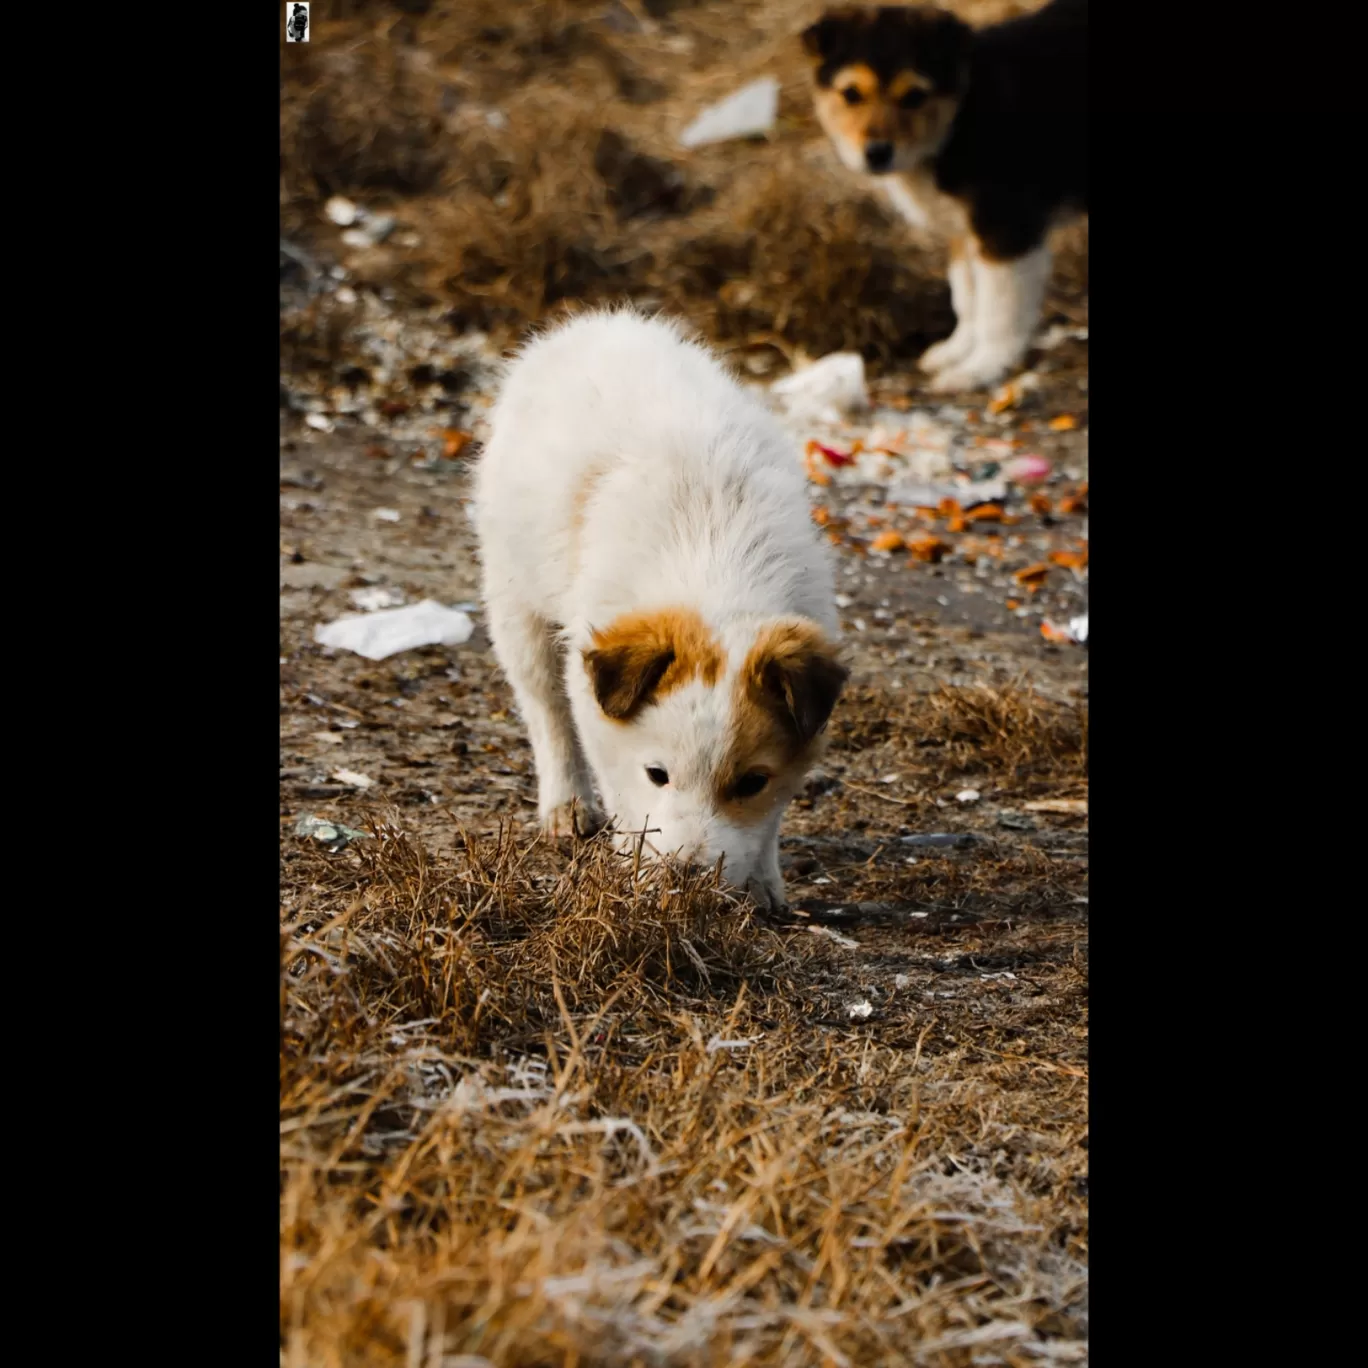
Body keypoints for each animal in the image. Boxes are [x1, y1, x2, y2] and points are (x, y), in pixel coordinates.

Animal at [476, 310, 848, 908]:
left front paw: (764, 883)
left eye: (751, 782)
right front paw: (639, 876)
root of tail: (597, 323)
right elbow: (624, 793)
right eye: (658, 774)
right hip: (515, 602)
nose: (687, 877)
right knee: (544, 709)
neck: (714, 570)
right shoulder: (600, 718)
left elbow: (768, 820)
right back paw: (566, 805)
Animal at [798, 2, 1088, 393]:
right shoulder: (961, 231)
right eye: (851, 94)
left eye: (914, 96)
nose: (877, 153)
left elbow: (999, 308)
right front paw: (956, 351)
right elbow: (967, 296)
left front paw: (980, 369)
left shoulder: (1006, 230)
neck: (959, 117)